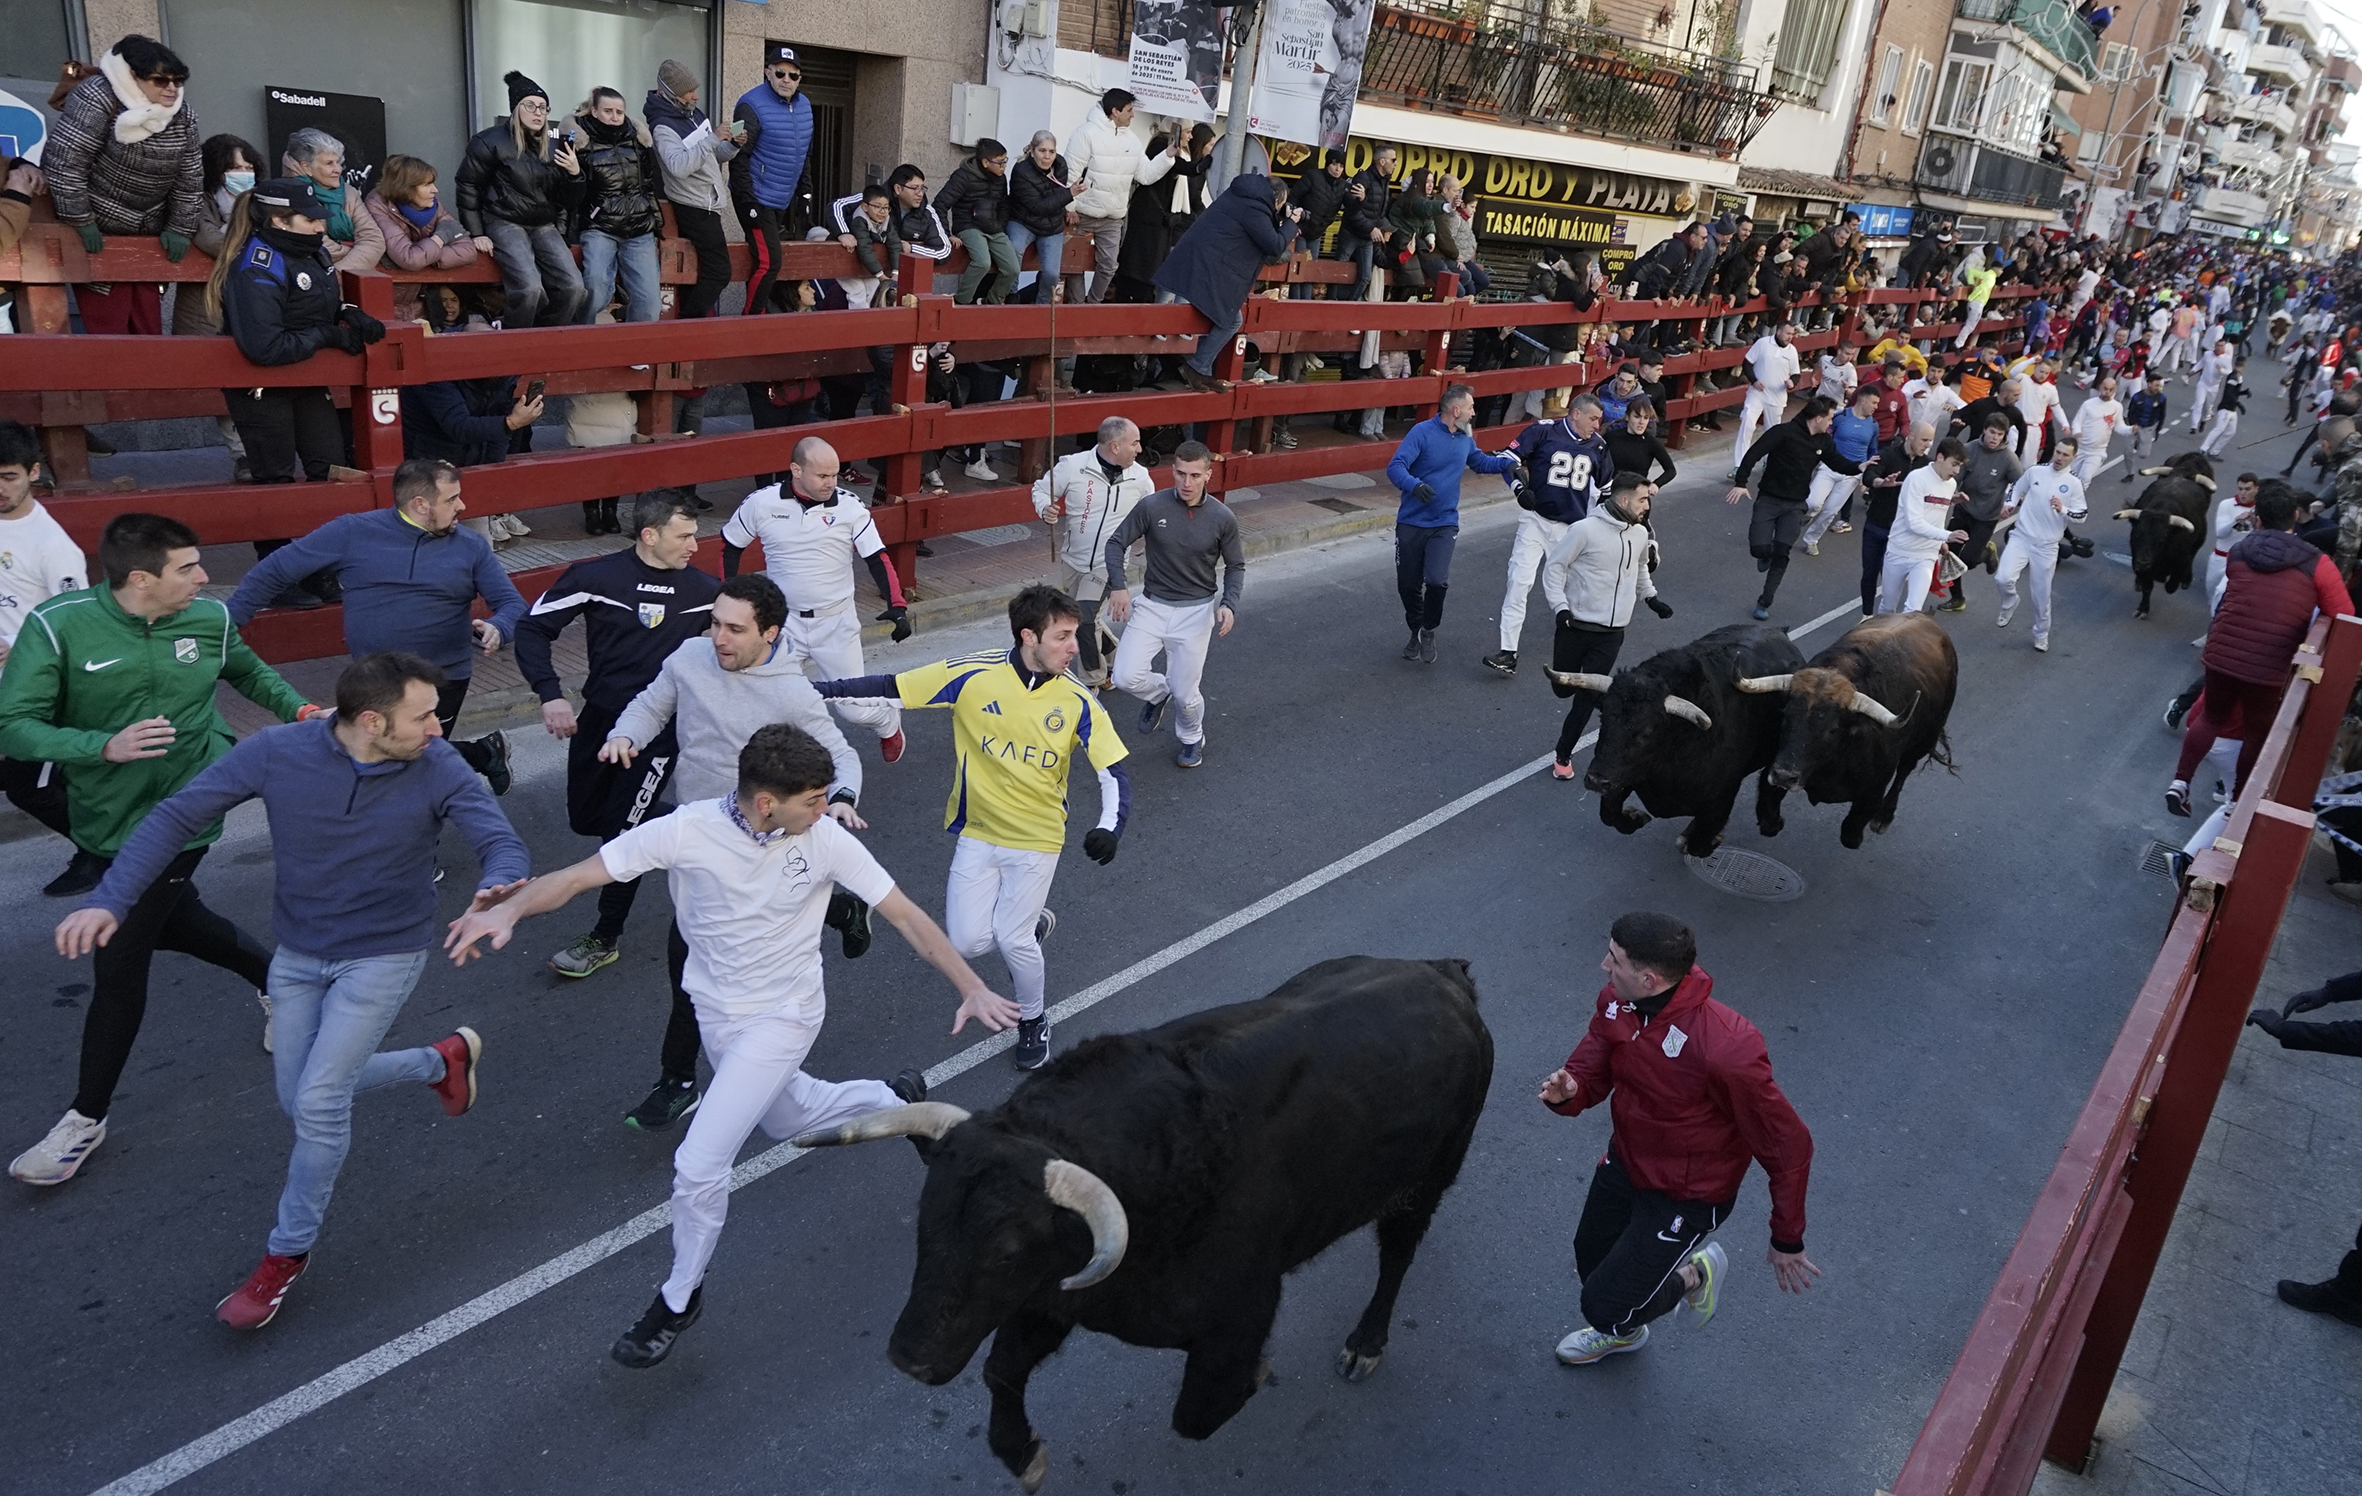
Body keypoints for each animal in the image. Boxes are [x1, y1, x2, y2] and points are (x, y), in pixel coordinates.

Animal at [793, 964, 1492, 1484]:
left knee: (1397, 1256)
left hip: (1426, 1181)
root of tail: (1444, 975)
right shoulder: (1054, 1297)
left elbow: (1198, 1412)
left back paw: (1365, 1344)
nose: (909, 1359)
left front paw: (1260, 1373)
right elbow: (1002, 1369)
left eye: (1007, 1250)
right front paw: (1022, 1452)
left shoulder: (1236, 1317)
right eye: (926, 1215)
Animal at [1568, 619, 1804, 850]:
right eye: (1602, 718)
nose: (1596, 780)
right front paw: (1636, 818)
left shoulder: (1721, 798)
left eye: (1647, 731)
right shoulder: (1624, 776)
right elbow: (1609, 814)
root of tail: (1779, 631)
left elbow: (1699, 843)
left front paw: (1707, 839)